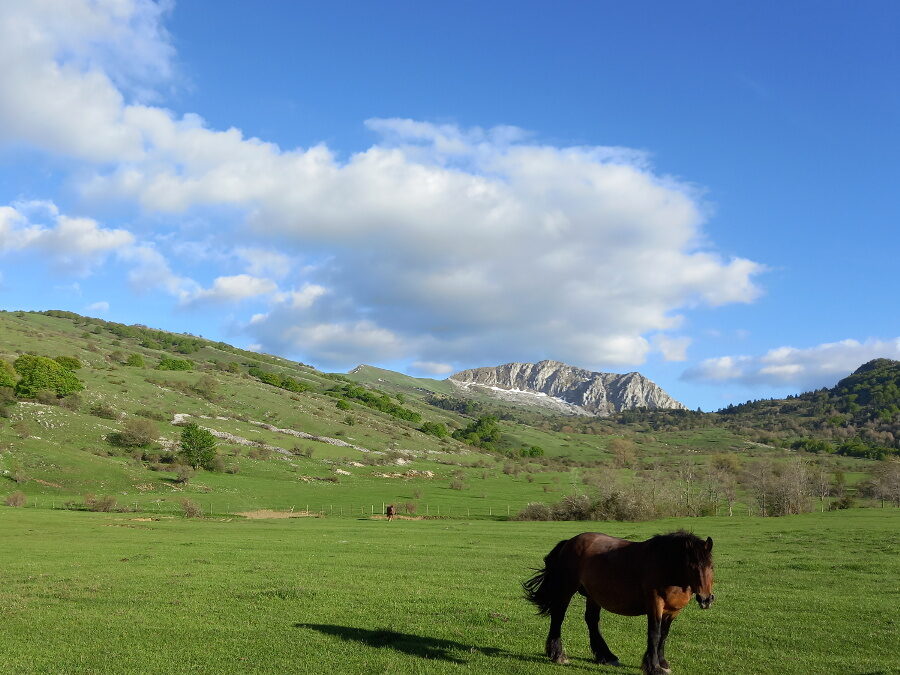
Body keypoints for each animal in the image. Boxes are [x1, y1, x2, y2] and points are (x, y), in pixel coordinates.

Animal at [524, 532, 712, 675]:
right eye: (691, 566)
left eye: (711, 566)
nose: (706, 599)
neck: (666, 566)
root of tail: (569, 542)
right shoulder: (655, 604)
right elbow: (654, 633)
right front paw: (653, 667)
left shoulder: (672, 611)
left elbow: (664, 635)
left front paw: (663, 663)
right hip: (566, 589)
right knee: (558, 616)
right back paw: (558, 655)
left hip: (593, 595)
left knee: (592, 621)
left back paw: (606, 656)